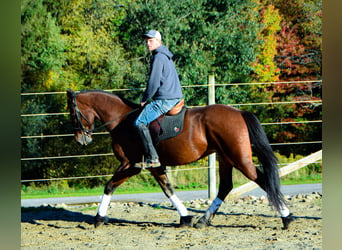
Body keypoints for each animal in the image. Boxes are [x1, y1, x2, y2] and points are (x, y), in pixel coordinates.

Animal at [67, 90, 294, 230]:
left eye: (72, 113)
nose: (80, 139)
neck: (123, 120)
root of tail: (238, 112)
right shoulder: (155, 166)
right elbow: (168, 189)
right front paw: (185, 218)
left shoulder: (131, 165)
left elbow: (109, 186)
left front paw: (99, 218)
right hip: (226, 158)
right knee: (225, 187)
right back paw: (203, 220)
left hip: (240, 159)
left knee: (262, 180)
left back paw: (287, 217)